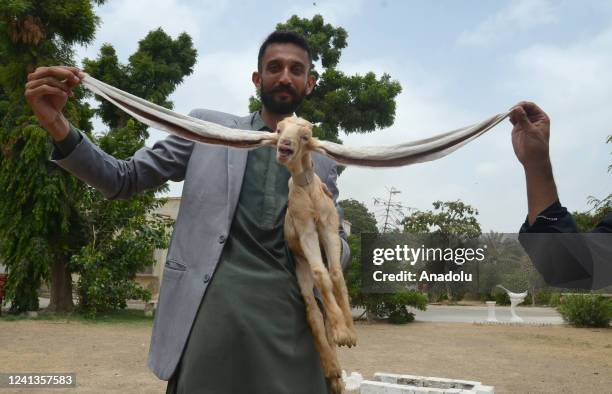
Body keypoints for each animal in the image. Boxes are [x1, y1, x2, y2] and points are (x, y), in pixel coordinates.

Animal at [274, 117, 356, 394]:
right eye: (278, 129)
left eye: (306, 135)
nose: (285, 145)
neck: (308, 191)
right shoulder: (306, 231)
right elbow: (322, 273)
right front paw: (343, 333)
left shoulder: (329, 227)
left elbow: (336, 274)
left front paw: (350, 332)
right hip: (301, 269)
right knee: (312, 310)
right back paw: (331, 368)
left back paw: (337, 377)